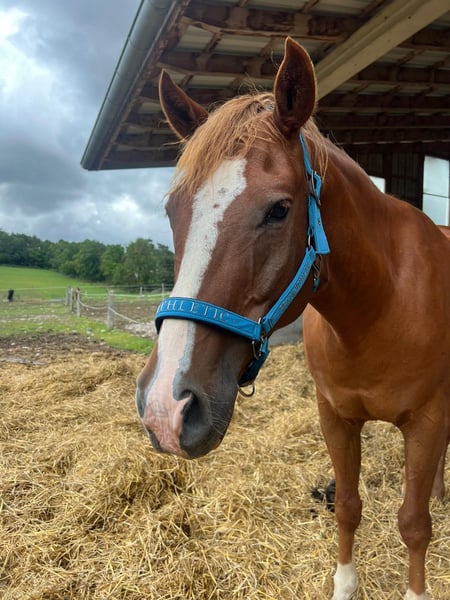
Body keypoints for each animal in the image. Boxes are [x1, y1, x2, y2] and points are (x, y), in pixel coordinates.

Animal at [136, 38, 450, 600]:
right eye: (173, 210)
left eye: (279, 209)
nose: (165, 409)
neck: (379, 307)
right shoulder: (335, 416)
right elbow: (346, 506)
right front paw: (344, 585)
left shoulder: (427, 419)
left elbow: (414, 525)